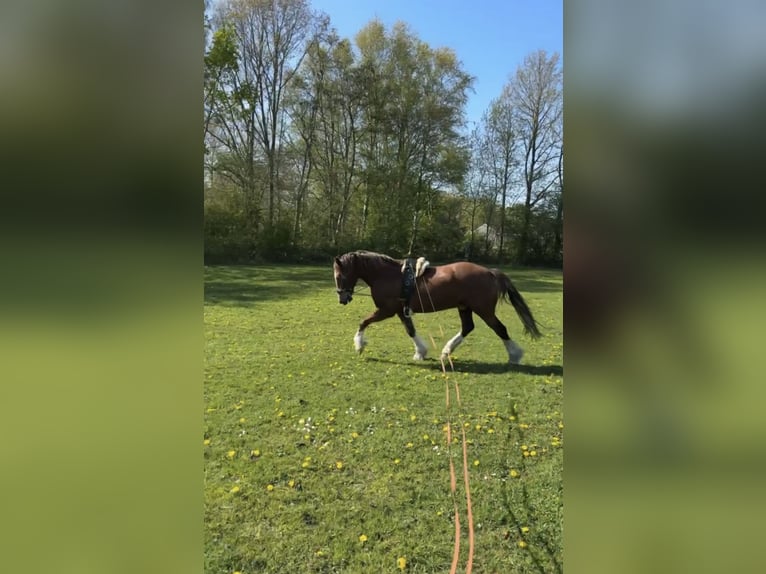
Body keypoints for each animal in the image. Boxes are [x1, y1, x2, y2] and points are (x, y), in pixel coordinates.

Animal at [333, 250, 541, 364]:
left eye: (339, 276)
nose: (342, 298)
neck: (386, 275)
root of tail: (490, 272)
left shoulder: (387, 310)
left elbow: (363, 322)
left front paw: (359, 345)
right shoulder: (401, 311)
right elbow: (411, 331)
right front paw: (420, 352)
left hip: (484, 310)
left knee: (500, 329)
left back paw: (514, 355)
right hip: (464, 307)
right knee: (468, 327)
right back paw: (447, 351)